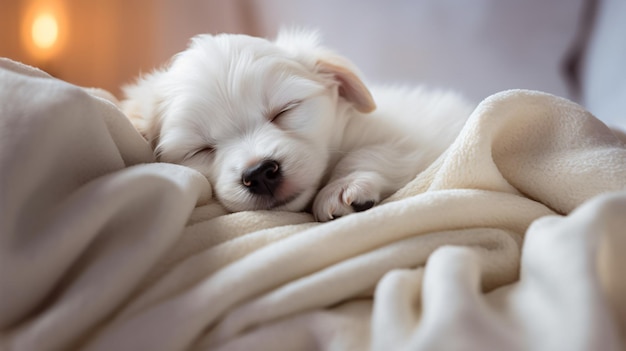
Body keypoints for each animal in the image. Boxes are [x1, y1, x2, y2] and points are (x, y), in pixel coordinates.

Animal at [120, 30, 472, 223]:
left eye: (284, 110)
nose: (260, 172)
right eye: (200, 149)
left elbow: (368, 153)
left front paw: (341, 188)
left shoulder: (412, 137)